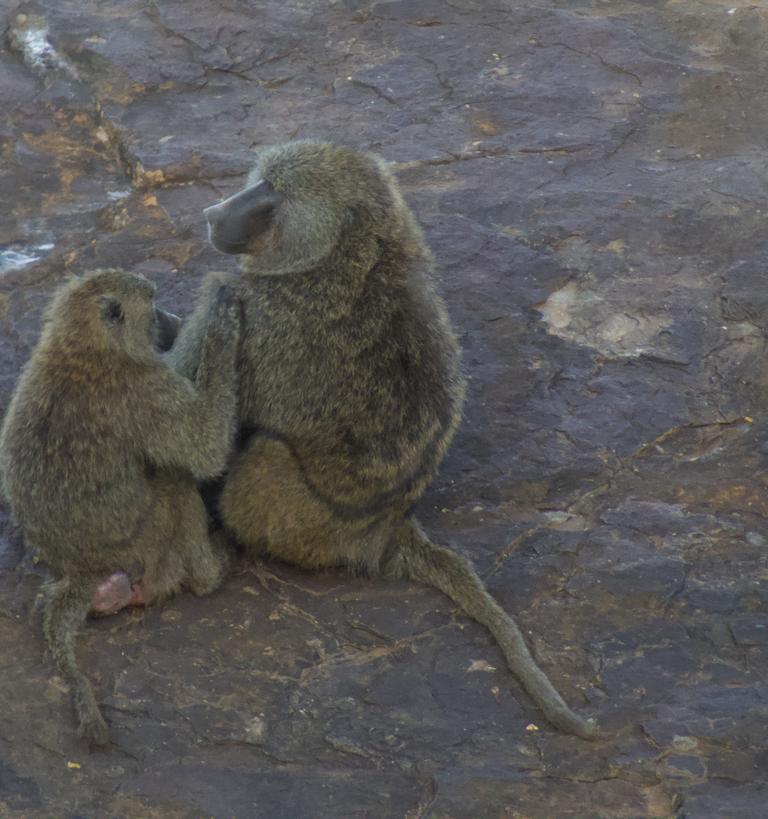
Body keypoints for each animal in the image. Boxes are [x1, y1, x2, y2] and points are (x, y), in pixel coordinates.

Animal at [0, 269, 242, 746]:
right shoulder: (148, 387)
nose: (171, 318)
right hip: (146, 544)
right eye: (152, 303)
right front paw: (222, 326)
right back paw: (211, 572)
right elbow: (205, 448)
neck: (80, 346)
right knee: (176, 483)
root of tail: (82, 570)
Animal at [166, 141, 597, 739]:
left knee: (265, 453)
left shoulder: (247, 304)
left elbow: (193, 430)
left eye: (271, 196)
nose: (212, 213)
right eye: (259, 182)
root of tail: (388, 528)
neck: (353, 256)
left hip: (300, 522)